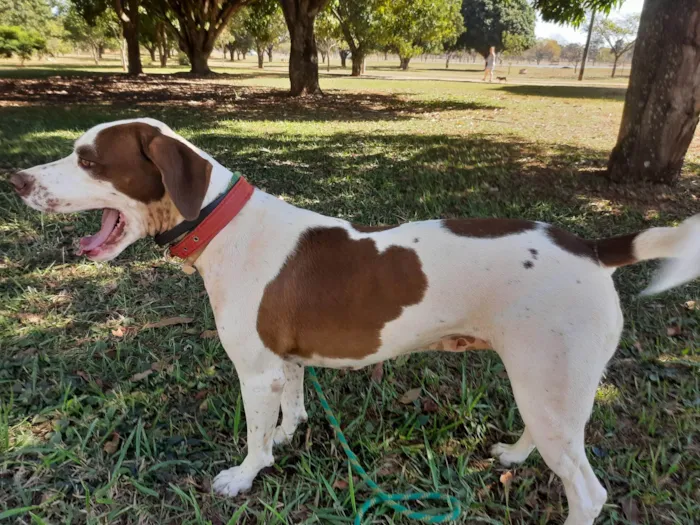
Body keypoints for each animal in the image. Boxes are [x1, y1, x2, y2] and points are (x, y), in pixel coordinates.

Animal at [9, 118, 700, 524]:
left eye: (89, 159)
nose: (15, 179)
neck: (222, 222)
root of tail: (592, 248)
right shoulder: (281, 363)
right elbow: (292, 406)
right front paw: (288, 436)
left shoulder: (253, 371)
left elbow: (255, 437)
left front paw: (246, 474)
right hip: (540, 379)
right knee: (544, 432)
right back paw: (512, 452)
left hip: (551, 377)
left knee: (587, 491)